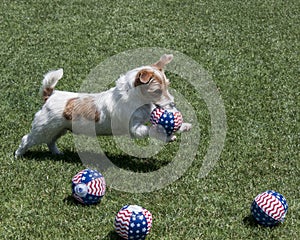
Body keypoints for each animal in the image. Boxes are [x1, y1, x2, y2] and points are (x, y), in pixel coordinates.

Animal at [14, 54, 192, 158]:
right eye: (157, 90)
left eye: (167, 85)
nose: (173, 102)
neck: (136, 100)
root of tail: (50, 95)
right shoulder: (134, 128)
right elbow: (150, 130)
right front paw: (166, 134)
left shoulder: (147, 112)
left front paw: (182, 126)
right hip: (42, 129)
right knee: (27, 139)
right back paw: (18, 155)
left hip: (59, 129)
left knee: (50, 141)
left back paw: (57, 153)